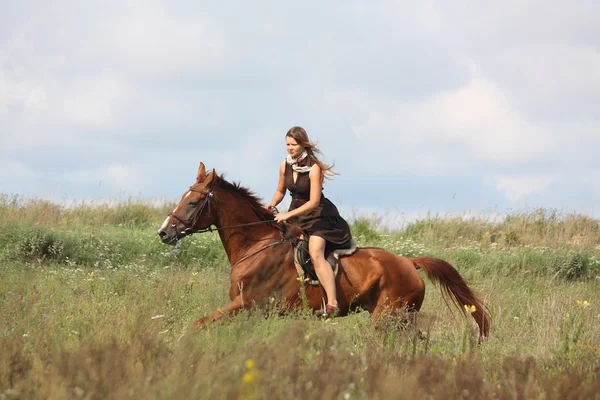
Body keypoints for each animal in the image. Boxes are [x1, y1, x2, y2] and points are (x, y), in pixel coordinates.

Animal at [157, 162, 490, 340]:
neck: (257, 244)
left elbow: (199, 323)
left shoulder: (246, 304)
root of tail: (409, 261)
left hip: (389, 317)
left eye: (192, 202)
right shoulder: (254, 311)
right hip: (397, 319)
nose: (164, 232)